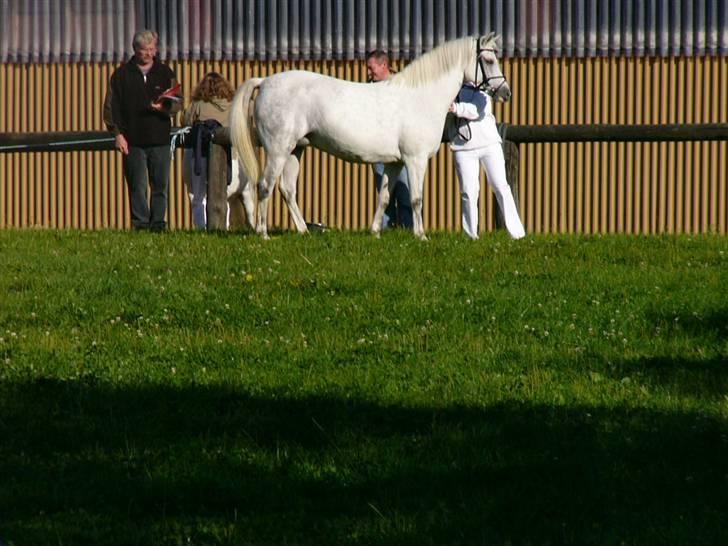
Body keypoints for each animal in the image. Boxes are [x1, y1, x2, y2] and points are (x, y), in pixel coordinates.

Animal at [229, 33, 510, 240]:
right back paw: (264, 234)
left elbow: (384, 197)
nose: (505, 92)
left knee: (287, 189)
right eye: (488, 59)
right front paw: (421, 236)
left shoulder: (395, 163)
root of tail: (265, 81)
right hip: (278, 151)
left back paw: (303, 231)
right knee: (265, 186)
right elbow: (417, 199)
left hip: (295, 150)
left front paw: (375, 232)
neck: (420, 96)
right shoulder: (415, 160)